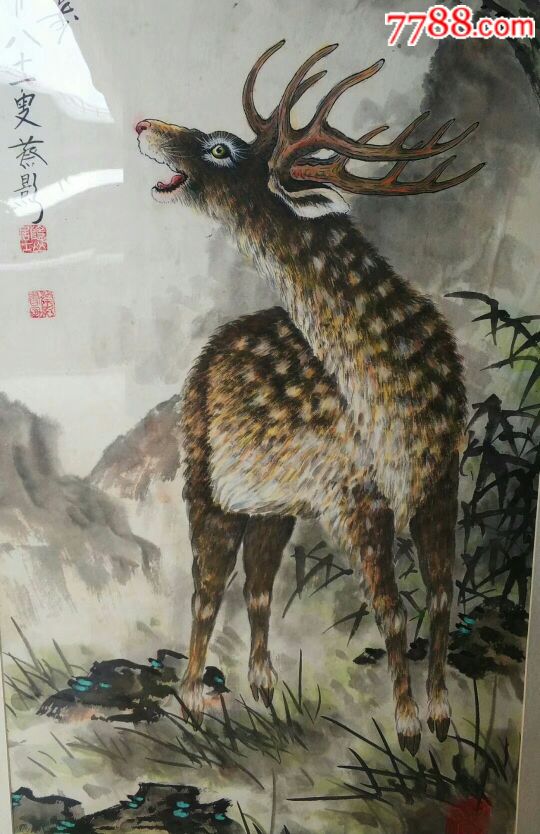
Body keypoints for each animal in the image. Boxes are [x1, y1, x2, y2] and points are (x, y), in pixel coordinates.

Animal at [126, 41, 483, 755]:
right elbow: (392, 611)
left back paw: (264, 690)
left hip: (275, 502)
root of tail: (202, 362)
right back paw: (193, 703)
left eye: (221, 149)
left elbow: (439, 596)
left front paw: (438, 717)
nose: (143, 123)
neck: (391, 400)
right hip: (203, 477)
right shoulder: (356, 494)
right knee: (207, 587)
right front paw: (406, 728)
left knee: (257, 583)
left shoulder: (439, 478)